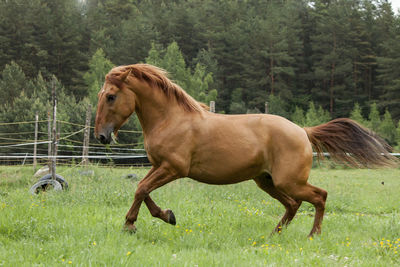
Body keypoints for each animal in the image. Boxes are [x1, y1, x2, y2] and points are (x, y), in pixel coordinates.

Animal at [94, 63, 396, 238]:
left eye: (111, 96)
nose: (101, 136)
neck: (171, 119)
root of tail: (303, 131)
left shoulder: (173, 168)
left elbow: (141, 189)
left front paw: (131, 225)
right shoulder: (159, 166)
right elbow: (143, 189)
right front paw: (167, 216)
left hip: (289, 181)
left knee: (319, 197)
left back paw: (313, 235)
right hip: (266, 181)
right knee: (293, 204)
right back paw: (274, 234)